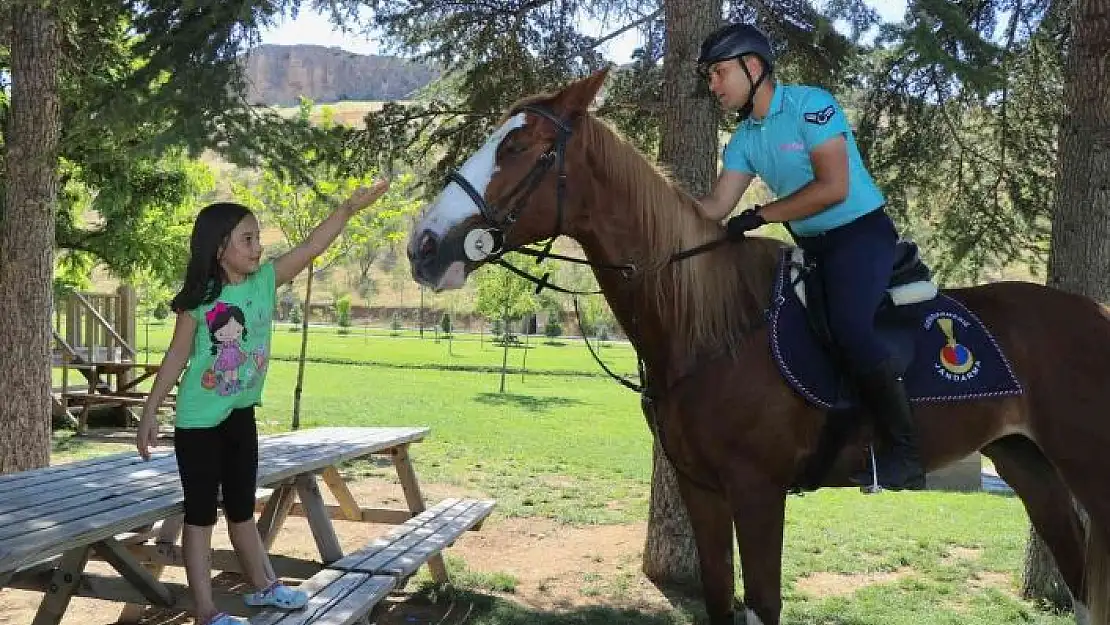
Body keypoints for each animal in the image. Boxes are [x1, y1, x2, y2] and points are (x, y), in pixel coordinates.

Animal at [410, 69, 1110, 625]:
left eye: (517, 145)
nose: (423, 245)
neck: (711, 326)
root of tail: (1094, 314)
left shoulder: (757, 492)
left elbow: (763, 603)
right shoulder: (702, 490)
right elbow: (721, 599)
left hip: (1087, 470)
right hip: (1029, 467)